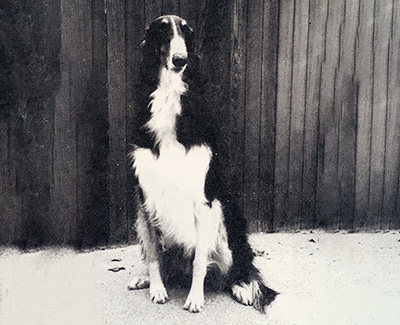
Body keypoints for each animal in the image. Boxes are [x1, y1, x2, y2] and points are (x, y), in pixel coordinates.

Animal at [129, 14, 278, 312]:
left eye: (187, 32)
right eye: (162, 30)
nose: (180, 60)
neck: (169, 97)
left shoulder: (204, 201)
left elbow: (199, 260)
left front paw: (195, 298)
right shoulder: (146, 200)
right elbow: (153, 256)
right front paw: (156, 288)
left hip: (226, 221)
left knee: (237, 268)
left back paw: (242, 287)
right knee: (166, 264)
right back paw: (147, 280)